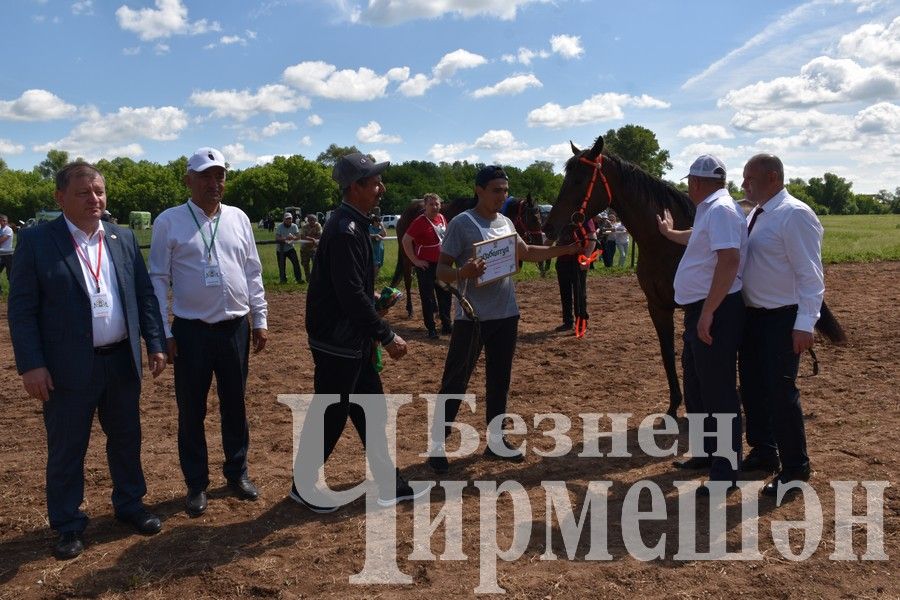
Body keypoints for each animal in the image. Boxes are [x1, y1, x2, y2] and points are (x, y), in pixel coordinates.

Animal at [544, 136, 848, 418]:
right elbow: (668, 355)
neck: (663, 244)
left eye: (580, 179)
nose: (550, 227)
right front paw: (673, 406)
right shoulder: (658, 307)